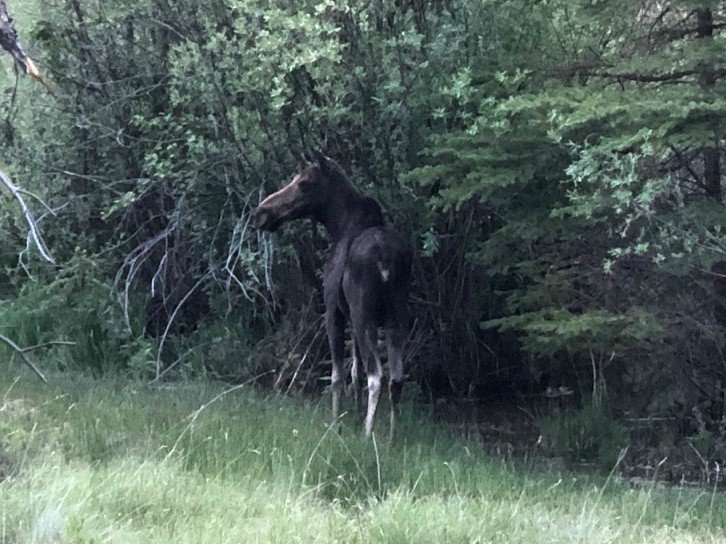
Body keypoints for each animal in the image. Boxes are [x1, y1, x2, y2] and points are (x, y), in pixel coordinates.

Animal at [255, 153, 416, 438]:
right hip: (397, 314)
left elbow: (337, 374)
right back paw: (390, 437)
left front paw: (336, 423)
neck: (338, 224)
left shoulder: (334, 311)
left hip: (365, 313)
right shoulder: (352, 316)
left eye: (304, 183)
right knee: (396, 376)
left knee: (377, 374)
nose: (261, 213)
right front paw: (354, 414)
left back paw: (368, 434)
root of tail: (387, 259)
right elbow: (355, 371)